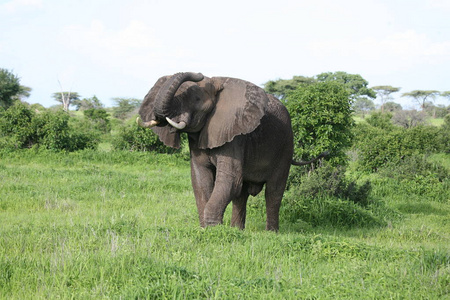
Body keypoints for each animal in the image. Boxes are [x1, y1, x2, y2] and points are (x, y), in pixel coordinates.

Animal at [137, 71, 296, 231]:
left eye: (197, 98)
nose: (199, 74)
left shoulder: (234, 134)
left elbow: (230, 181)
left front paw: (214, 229)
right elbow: (201, 179)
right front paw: (206, 230)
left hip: (286, 147)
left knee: (273, 191)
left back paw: (271, 232)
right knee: (242, 194)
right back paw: (237, 230)